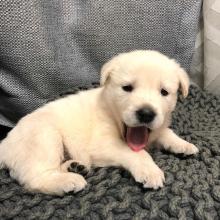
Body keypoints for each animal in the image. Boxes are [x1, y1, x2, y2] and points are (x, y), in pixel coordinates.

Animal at [0, 49, 199, 194]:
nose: (146, 114)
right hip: (43, 137)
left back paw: (75, 167)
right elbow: (138, 153)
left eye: (164, 92)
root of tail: (4, 144)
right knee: (35, 178)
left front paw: (183, 145)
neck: (111, 113)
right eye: (127, 88)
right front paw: (150, 171)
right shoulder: (103, 143)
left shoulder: (157, 127)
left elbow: (166, 132)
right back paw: (69, 180)